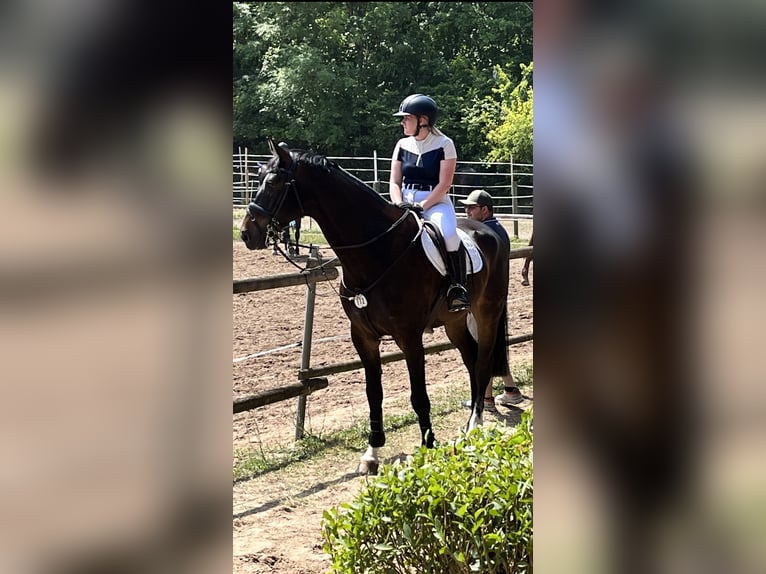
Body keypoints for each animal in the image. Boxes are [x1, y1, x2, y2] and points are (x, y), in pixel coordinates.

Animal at [240, 139, 511, 474]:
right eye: (258, 177)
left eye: (275, 182)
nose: (247, 234)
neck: (378, 251)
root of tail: (490, 230)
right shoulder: (363, 337)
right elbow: (374, 394)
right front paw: (372, 453)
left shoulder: (409, 337)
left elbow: (419, 396)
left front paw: (428, 449)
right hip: (454, 322)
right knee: (472, 360)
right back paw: (472, 423)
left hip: (487, 313)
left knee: (483, 361)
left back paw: (475, 425)